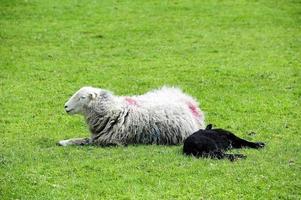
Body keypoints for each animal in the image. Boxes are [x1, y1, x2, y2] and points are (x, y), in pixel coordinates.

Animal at [57, 86, 205, 147]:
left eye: (82, 97)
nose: (65, 106)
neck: (113, 111)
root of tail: (192, 104)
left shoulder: (107, 141)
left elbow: (83, 141)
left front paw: (64, 142)